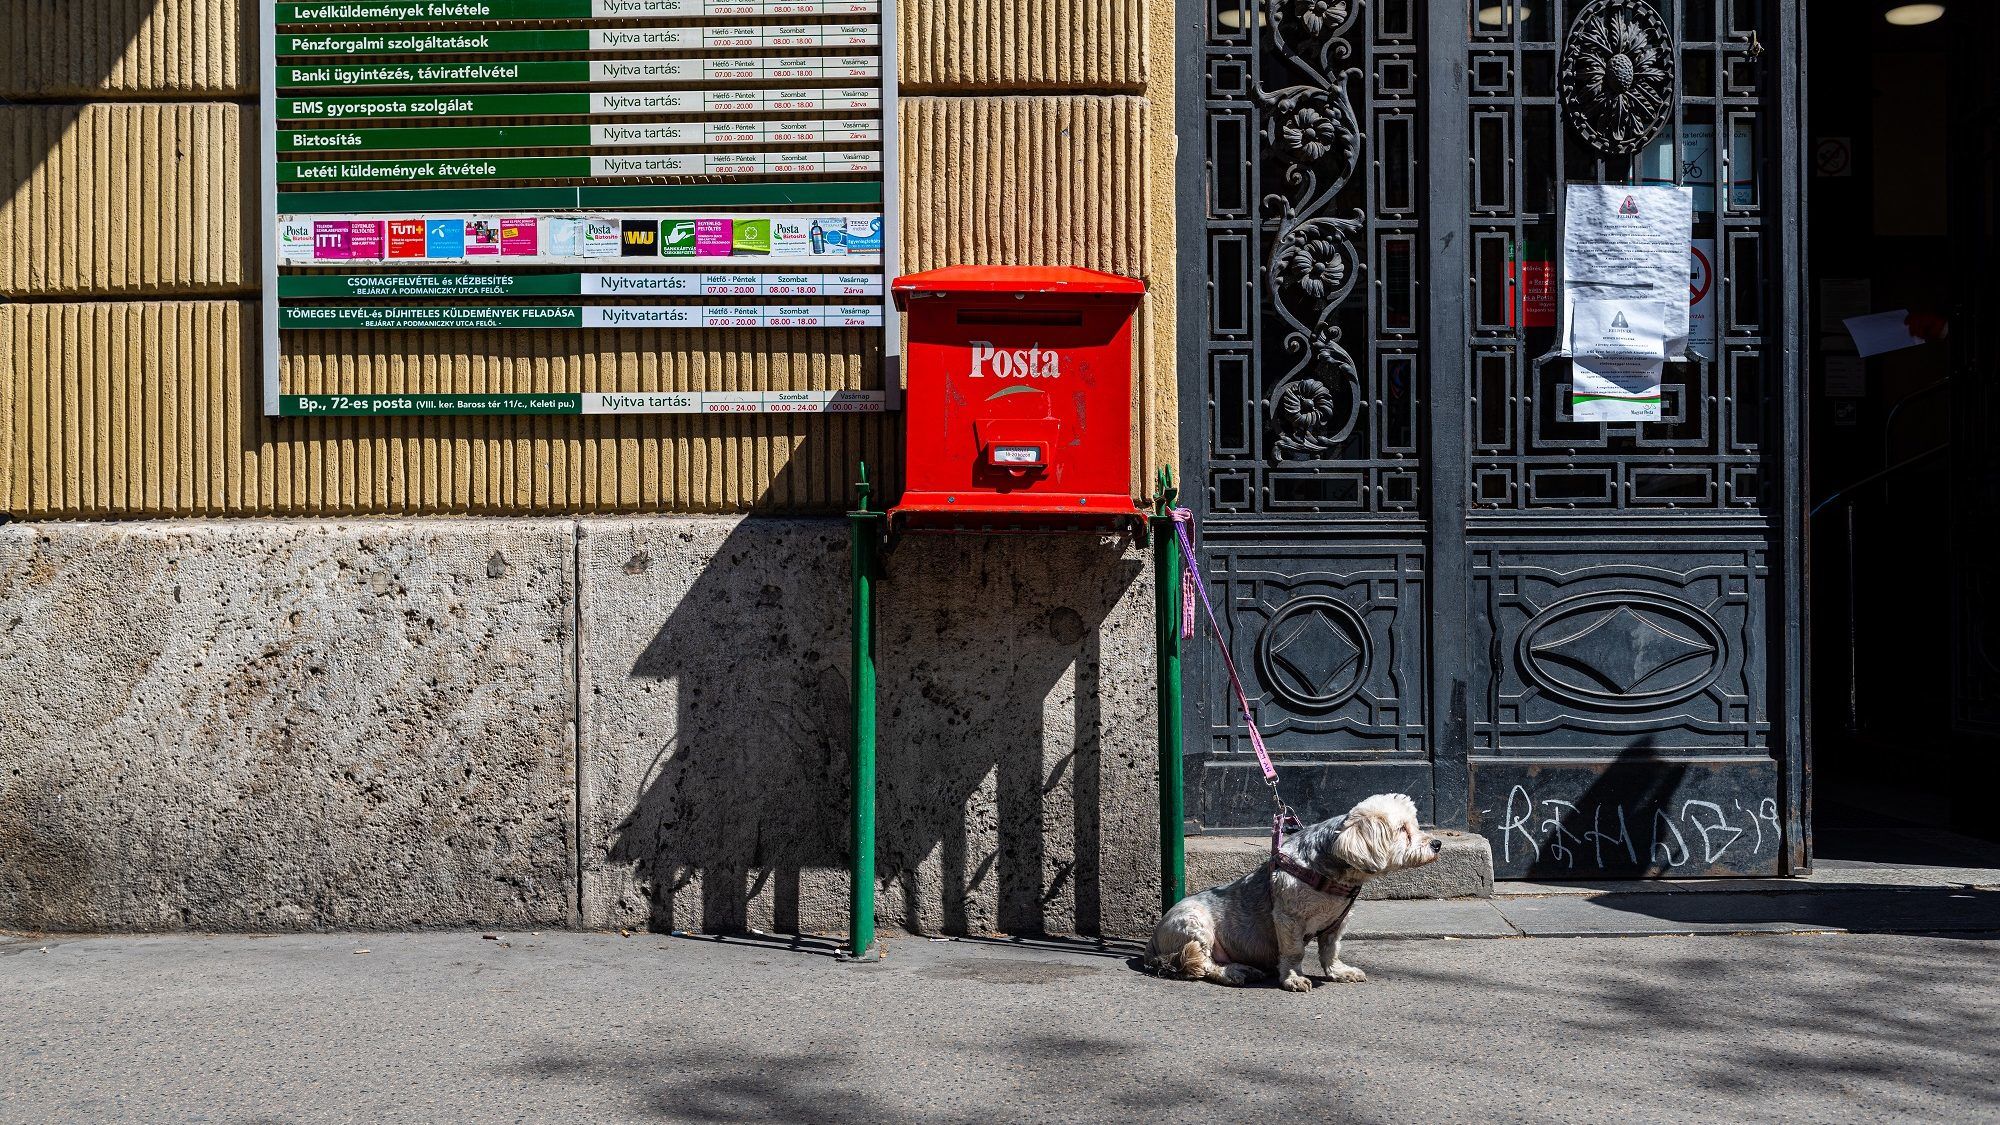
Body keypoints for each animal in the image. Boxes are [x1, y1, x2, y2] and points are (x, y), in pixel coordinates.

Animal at [1152, 792, 1448, 984]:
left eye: (1415, 825)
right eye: (1403, 830)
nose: (1437, 844)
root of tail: (1153, 942)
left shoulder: (1337, 923)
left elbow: (1330, 950)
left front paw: (1338, 971)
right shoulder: (1288, 919)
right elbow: (1294, 951)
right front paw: (1293, 977)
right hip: (1194, 924)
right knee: (1201, 965)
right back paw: (1232, 972)